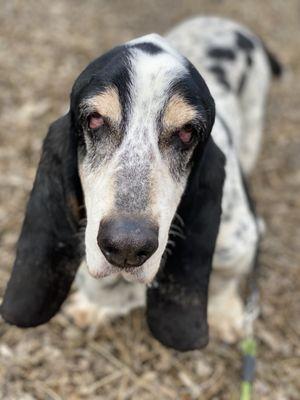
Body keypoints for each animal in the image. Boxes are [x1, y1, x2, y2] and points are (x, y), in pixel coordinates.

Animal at [0, 17, 282, 352]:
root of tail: (231, 25)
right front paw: (97, 305)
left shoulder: (238, 243)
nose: (127, 245)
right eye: (94, 119)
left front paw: (225, 314)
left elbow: (224, 282)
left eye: (187, 132)